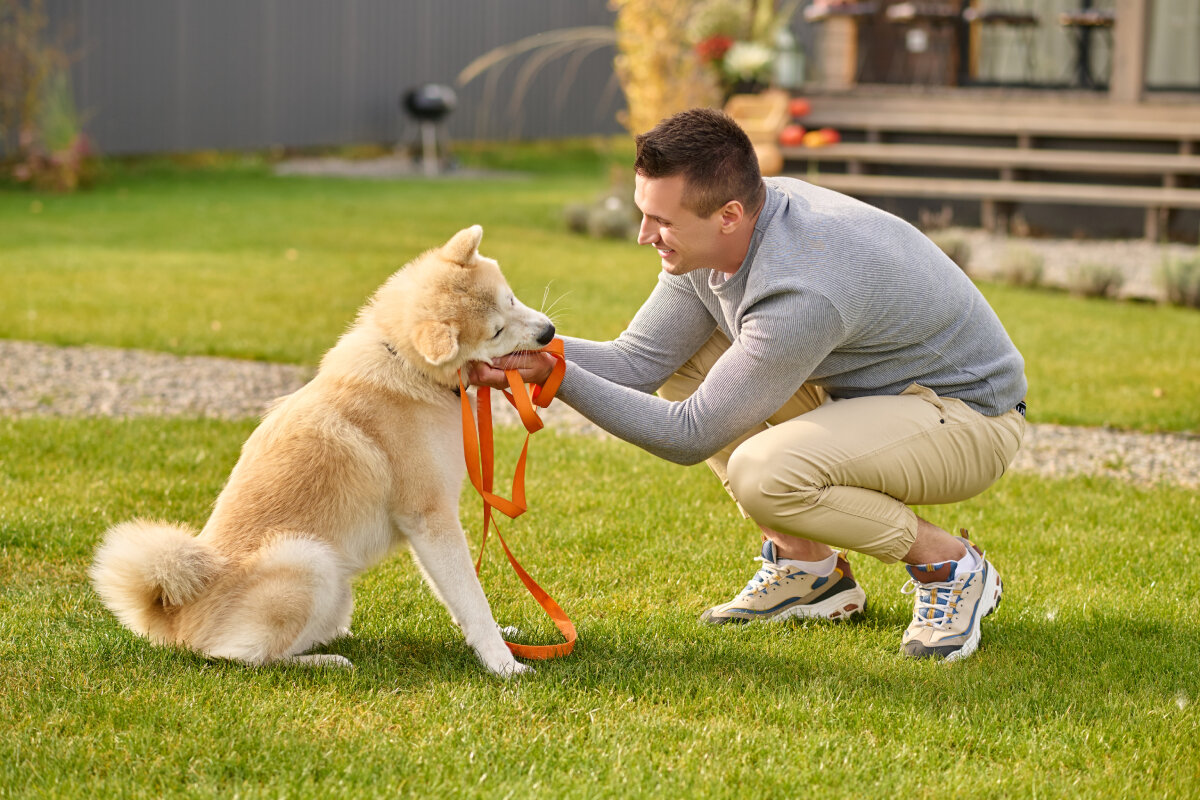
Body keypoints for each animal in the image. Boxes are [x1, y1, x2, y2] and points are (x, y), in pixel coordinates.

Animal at [91, 225, 554, 676]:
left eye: (511, 298)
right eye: (496, 331)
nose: (549, 333)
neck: (407, 367)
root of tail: (173, 614)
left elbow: (459, 595)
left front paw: (500, 638)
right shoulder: (429, 517)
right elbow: (470, 594)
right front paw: (503, 662)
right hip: (308, 559)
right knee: (239, 656)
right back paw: (324, 660)